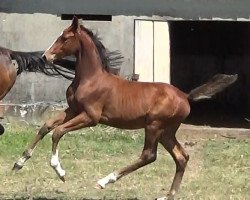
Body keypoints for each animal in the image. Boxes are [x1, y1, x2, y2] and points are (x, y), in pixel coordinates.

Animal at [12, 17, 237, 200]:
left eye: (65, 38)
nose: (45, 56)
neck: (90, 79)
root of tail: (185, 96)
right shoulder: (73, 111)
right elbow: (46, 126)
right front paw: (19, 163)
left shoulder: (90, 117)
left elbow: (57, 132)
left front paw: (60, 172)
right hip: (166, 132)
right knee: (182, 157)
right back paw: (168, 194)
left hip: (154, 126)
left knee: (149, 156)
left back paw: (105, 181)